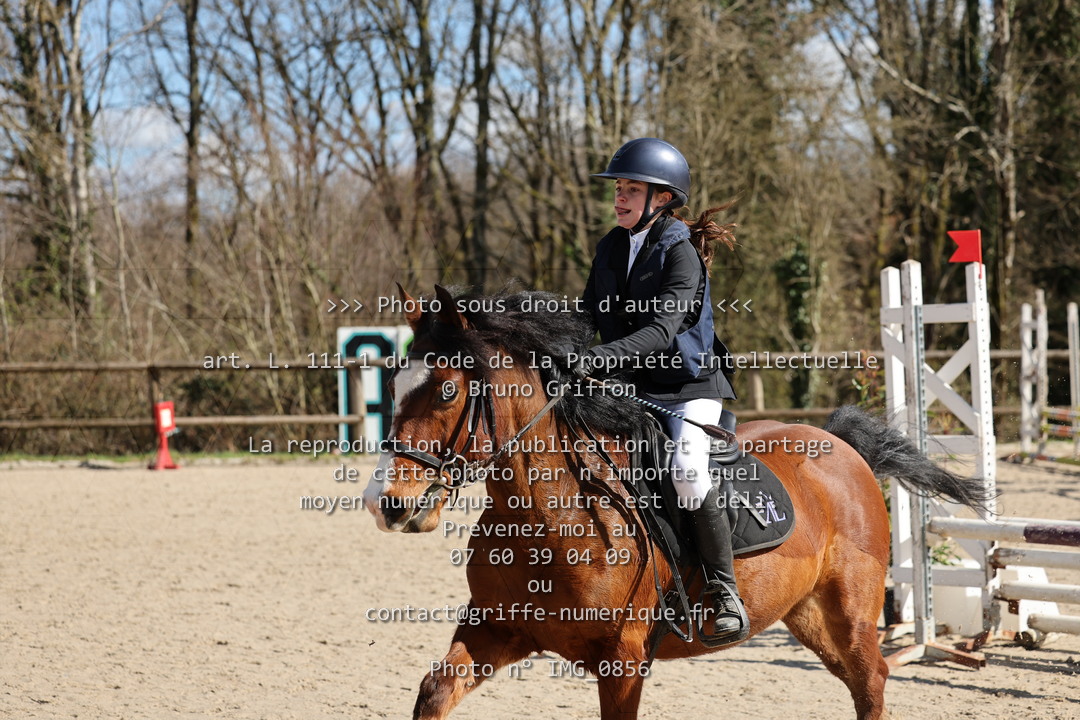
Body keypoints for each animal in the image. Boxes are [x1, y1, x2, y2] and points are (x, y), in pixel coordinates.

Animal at [362, 285, 989, 720]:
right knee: (862, 680)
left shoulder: (622, 661)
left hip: (852, 610)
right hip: (807, 614)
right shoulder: (495, 630)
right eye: (390, 386)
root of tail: (838, 443)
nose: (384, 504)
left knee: (872, 681)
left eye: (447, 390)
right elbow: (433, 693)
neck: (543, 518)